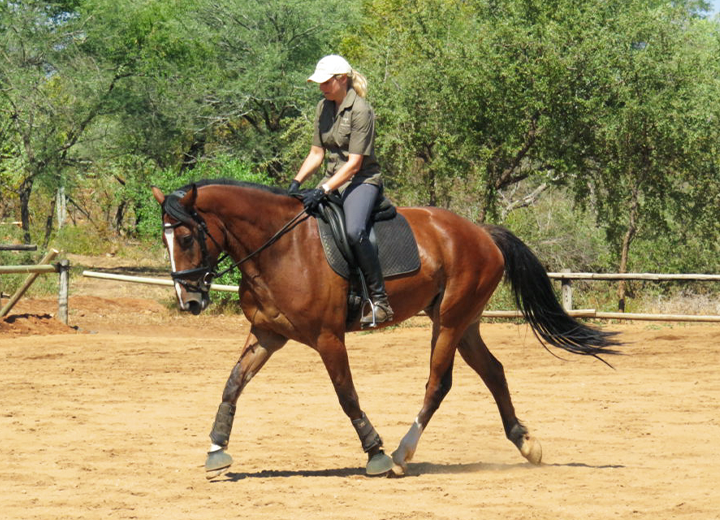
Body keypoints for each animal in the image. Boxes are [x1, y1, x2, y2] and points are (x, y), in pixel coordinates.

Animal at [152, 179, 619, 479]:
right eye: (166, 240)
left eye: (188, 237)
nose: (189, 302)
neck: (280, 247)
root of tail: (481, 232)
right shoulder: (268, 334)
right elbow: (233, 384)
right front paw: (217, 450)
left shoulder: (327, 338)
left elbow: (346, 395)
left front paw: (374, 452)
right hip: (464, 323)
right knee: (494, 372)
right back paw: (525, 443)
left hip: (449, 322)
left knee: (438, 383)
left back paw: (399, 454)